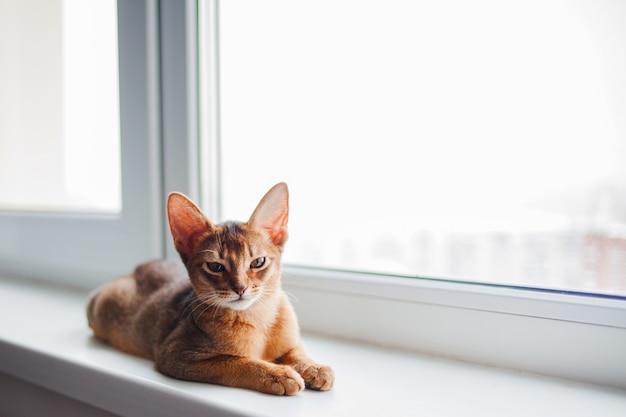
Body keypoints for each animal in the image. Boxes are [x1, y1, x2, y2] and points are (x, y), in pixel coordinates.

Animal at [86, 182, 336, 394]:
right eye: (215, 266)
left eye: (258, 262)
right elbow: (237, 362)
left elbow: (296, 351)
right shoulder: (175, 354)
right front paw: (278, 375)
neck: (258, 319)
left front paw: (314, 368)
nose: (240, 288)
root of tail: (137, 267)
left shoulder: (290, 341)